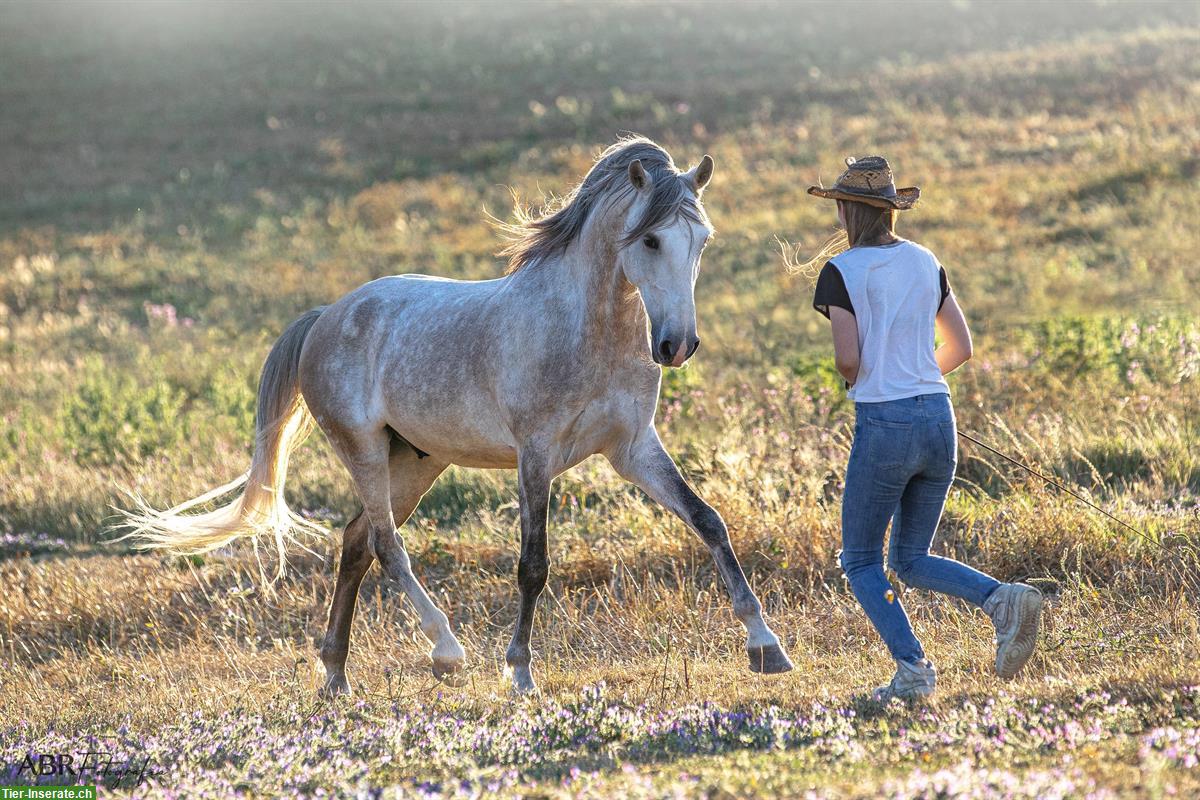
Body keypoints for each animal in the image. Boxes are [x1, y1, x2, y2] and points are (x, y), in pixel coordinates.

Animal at [124, 136, 796, 695]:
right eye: (650, 240)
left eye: (701, 241)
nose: (677, 345)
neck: (588, 331)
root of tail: (324, 317)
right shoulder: (536, 455)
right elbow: (532, 565)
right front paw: (519, 672)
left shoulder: (632, 448)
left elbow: (709, 522)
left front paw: (766, 647)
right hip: (364, 450)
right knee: (388, 545)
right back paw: (446, 652)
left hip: (417, 462)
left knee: (356, 542)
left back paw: (336, 675)